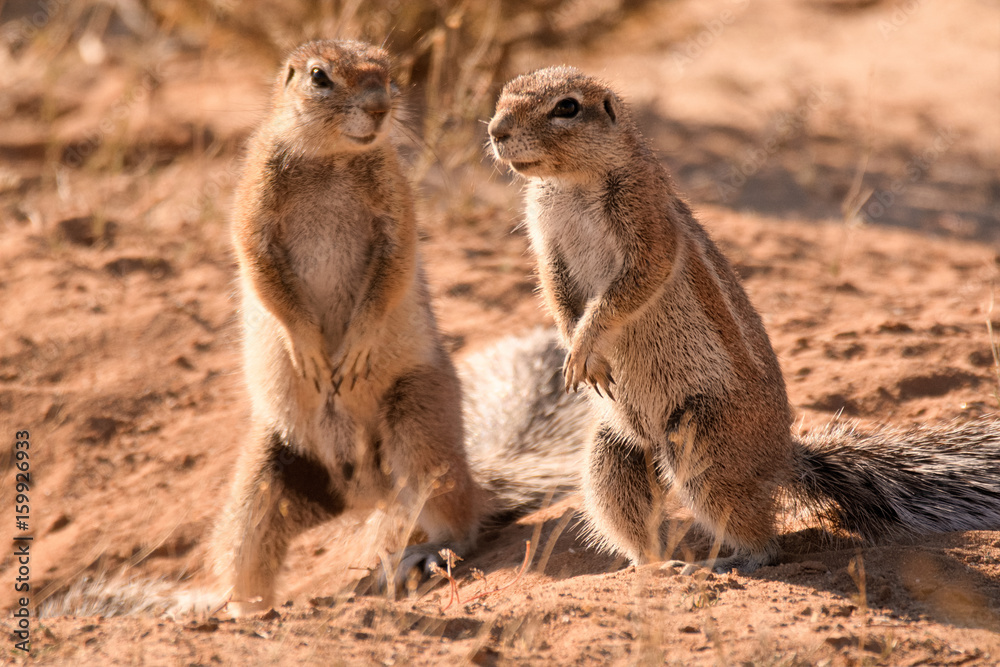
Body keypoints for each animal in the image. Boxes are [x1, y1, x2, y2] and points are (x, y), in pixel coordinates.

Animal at [212, 41, 589, 614]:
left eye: (388, 72)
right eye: (319, 77)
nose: (379, 108)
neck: (331, 158)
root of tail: (363, 495)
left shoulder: (397, 208)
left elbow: (391, 272)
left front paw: (353, 353)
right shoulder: (254, 206)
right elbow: (263, 273)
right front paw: (311, 353)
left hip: (417, 424)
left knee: (458, 522)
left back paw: (423, 555)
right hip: (264, 472)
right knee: (248, 548)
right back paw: (233, 609)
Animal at [487, 66, 1000, 573]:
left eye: (567, 107)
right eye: (503, 95)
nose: (496, 131)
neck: (570, 184)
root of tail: (781, 457)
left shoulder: (647, 227)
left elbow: (629, 288)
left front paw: (584, 344)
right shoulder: (547, 243)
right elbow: (555, 292)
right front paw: (575, 346)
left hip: (704, 446)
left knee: (762, 538)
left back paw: (724, 564)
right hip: (612, 450)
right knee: (628, 507)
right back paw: (649, 565)